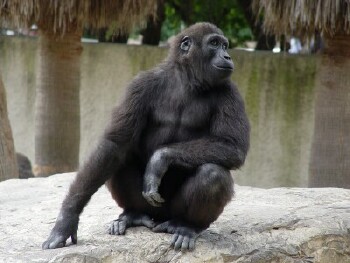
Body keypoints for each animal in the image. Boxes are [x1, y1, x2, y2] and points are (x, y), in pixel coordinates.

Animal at [42, 22, 250, 252]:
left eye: (224, 45)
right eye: (214, 43)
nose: (227, 56)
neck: (186, 78)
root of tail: (158, 219)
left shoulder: (230, 91)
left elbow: (232, 146)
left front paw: (160, 159)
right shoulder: (140, 85)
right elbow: (115, 144)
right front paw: (67, 219)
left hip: (170, 213)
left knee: (213, 174)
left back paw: (187, 226)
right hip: (149, 209)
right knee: (119, 160)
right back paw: (133, 215)